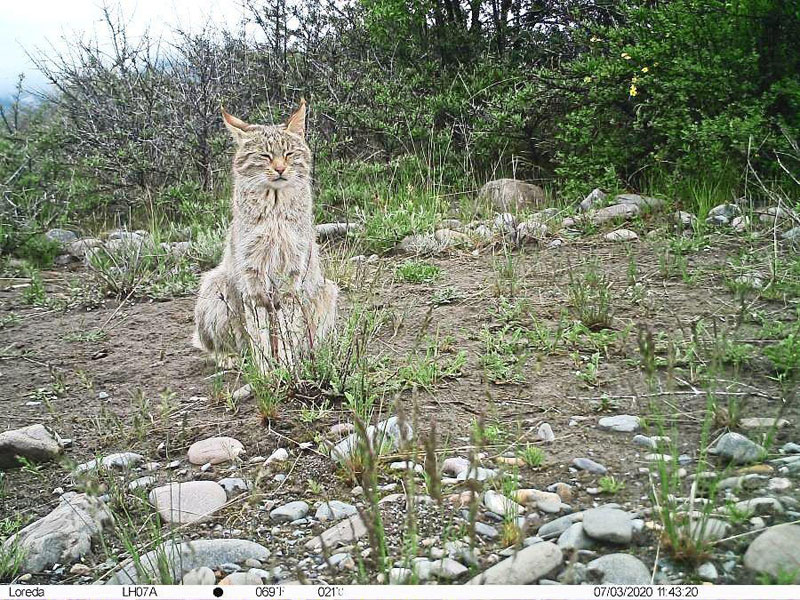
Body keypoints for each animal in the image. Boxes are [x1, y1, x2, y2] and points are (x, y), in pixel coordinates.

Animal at [193, 99, 338, 366]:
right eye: (265, 155)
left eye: (289, 154)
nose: (280, 169)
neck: (275, 209)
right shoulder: (253, 279)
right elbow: (260, 332)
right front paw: (267, 368)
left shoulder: (291, 278)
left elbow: (286, 329)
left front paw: (288, 366)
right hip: (215, 283)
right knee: (211, 344)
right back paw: (230, 358)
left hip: (327, 290)